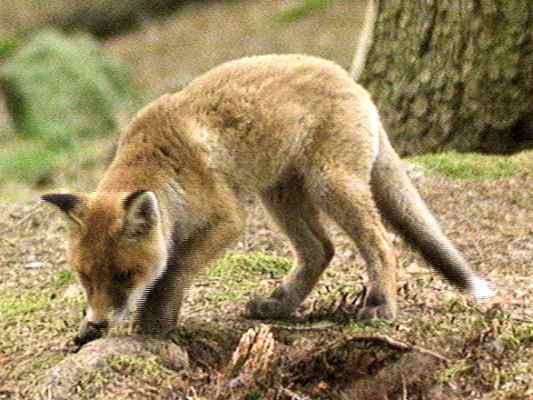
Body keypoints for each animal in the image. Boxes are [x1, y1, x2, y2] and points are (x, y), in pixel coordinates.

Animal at [42, 54, 494, 346]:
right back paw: (281, 305)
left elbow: (173, 271)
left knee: (381, 244)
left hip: (331, 186)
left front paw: (155, 323)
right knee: (321, 251)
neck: (164, 162)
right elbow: (167, 267)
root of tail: (353, 80)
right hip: (279, 196)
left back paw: (380, 305)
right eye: (86, 278)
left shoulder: (227, 221)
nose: (99, 324)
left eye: (124, 276)